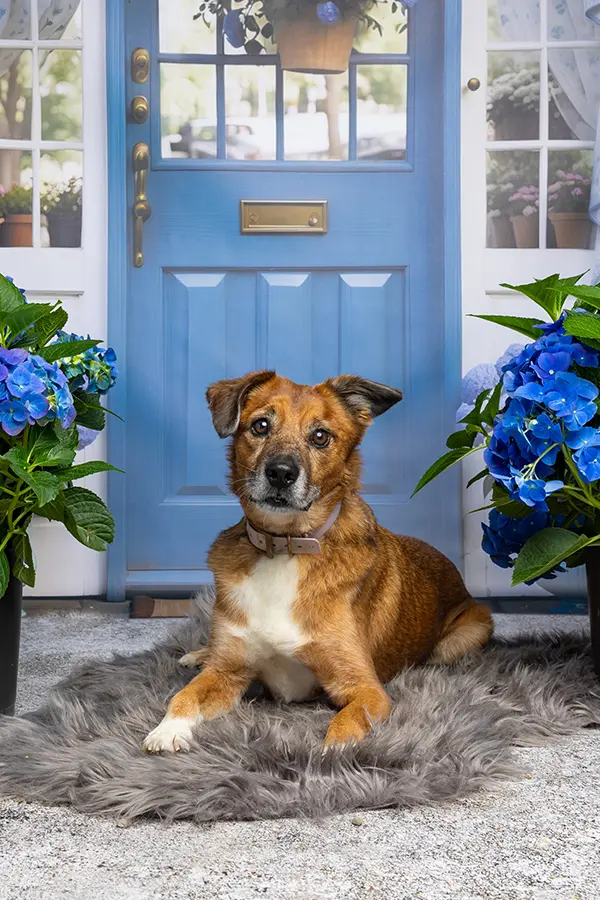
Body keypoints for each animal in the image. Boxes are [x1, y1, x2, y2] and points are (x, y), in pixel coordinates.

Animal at [143, 371, 493, 754]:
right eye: (260, 426)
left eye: (320, 436)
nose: (281, 473)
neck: (286, 547)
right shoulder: (227, 672)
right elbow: (184, 695)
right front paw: (167, 729)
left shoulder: (365, 689)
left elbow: (345, 723)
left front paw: (329, 755)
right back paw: (198, 654)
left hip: (463, 637)